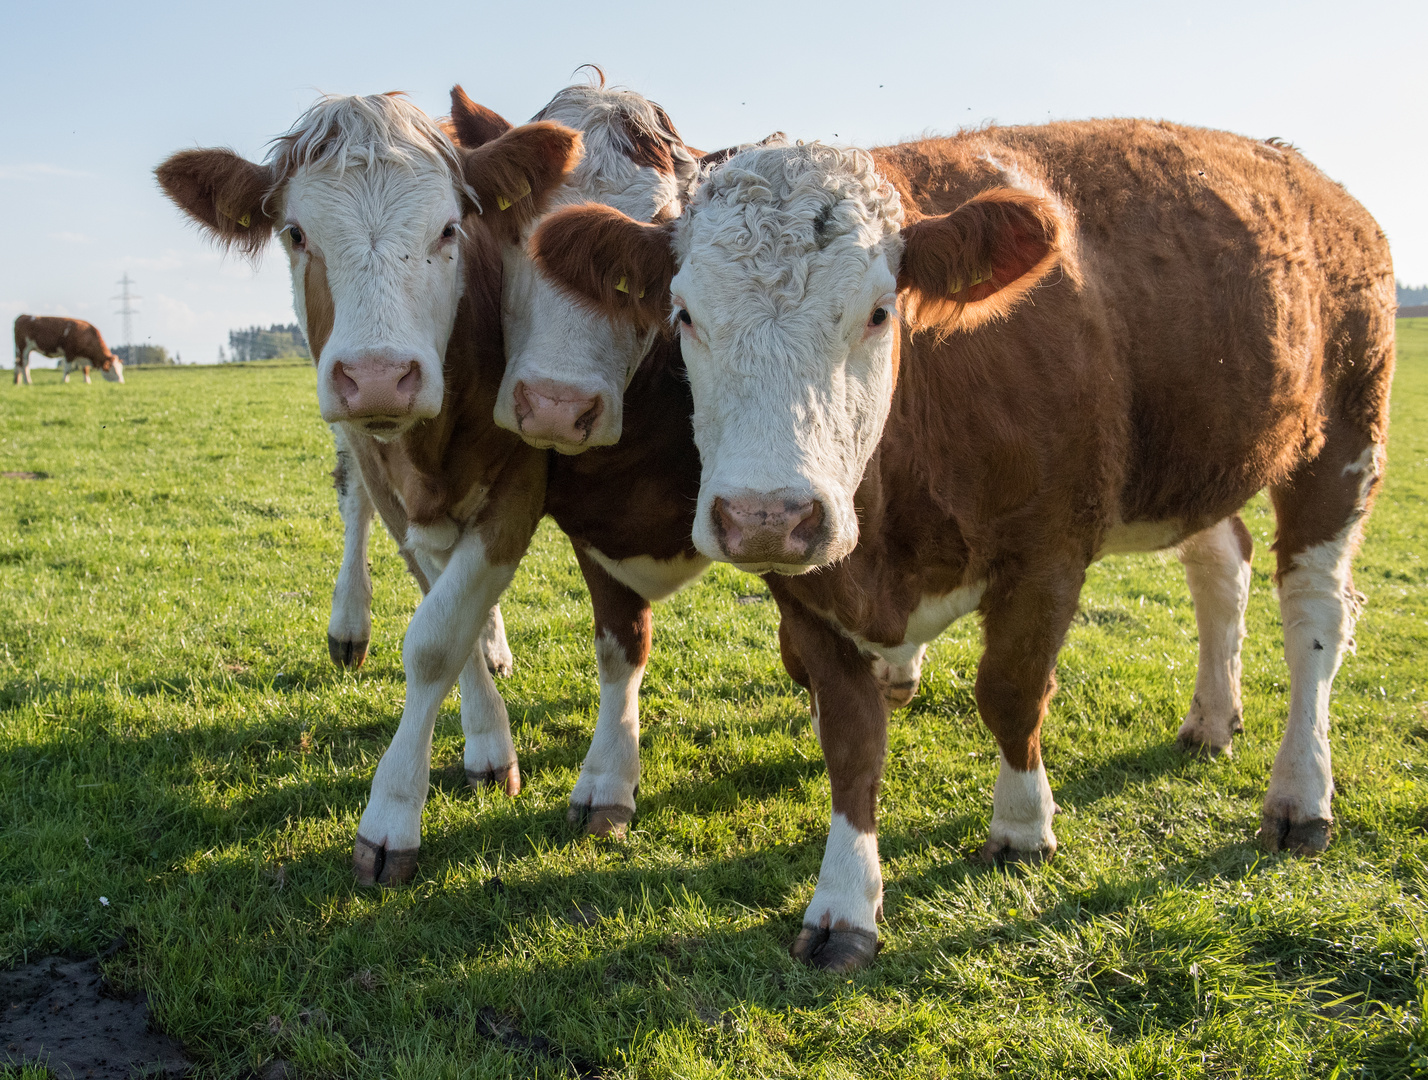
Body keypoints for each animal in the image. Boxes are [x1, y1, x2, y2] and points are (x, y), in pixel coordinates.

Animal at [534, 120, 1393, 971]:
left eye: (880, 312)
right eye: (683, 315)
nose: (767, 516)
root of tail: (1309, 176)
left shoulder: (1048, 556)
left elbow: (1010, 691)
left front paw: (1022, 825)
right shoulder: (807, 595)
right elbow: (852, 741)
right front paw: (845, 903)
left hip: (1344, 435)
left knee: (1314, 618)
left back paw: (1301, 794)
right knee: (1221, 569)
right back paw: (1213, 718)